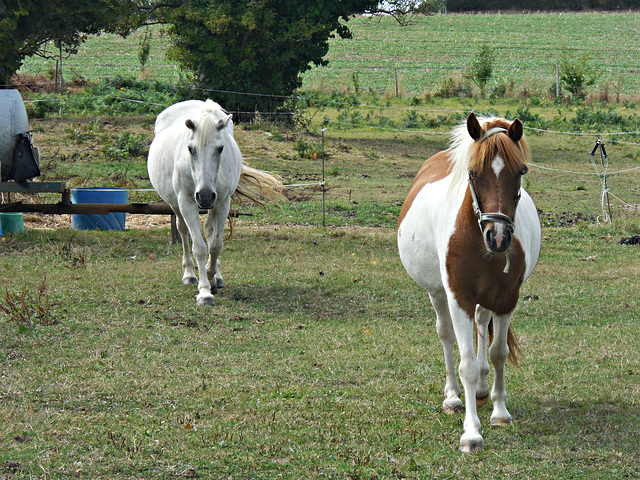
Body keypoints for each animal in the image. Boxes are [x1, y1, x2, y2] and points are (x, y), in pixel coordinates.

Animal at [150, 99, 280, 306]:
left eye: (220, 148)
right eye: (190, 149)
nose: (204, 196)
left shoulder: (222, 202)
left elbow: (215, 244)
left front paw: (212, 278)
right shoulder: (186, 202)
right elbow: (200, 248)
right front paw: (204, 292)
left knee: (210, 233)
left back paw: (216, 277)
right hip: (176, 205)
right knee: (183, 231)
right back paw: (189, 274)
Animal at [400, 111, 540, 450]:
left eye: (521, 171)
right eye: (473, 174)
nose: (498, 236)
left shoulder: (505, 299)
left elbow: (497, 353)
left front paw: (500, 412)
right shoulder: (458, 297)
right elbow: (466, 364)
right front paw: (471, 432)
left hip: (486, 300)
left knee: (481, 327)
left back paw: (481, 389)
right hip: (438, 294)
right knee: (446, 335)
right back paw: (453, 397)